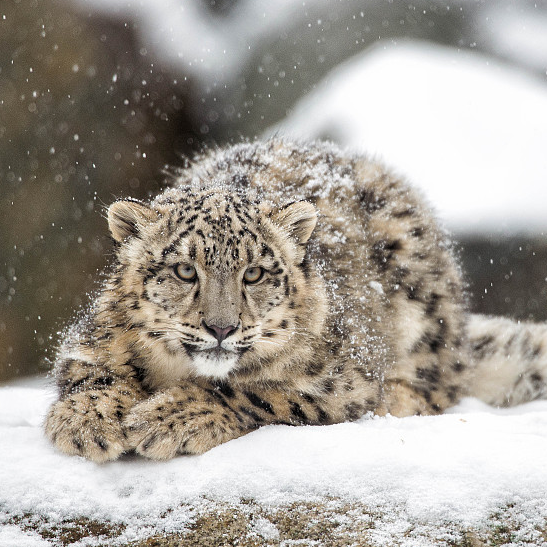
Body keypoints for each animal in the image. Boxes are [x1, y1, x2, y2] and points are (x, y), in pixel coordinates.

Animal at [44, 138, 547, 462]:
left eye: (255, 272)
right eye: (185, 270)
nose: (222, 327)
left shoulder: (343, 384)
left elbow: (262, 394)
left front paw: (168, 418)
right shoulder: (89, 339)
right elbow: (89, 371)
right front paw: (87, 422)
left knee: (436, 384)